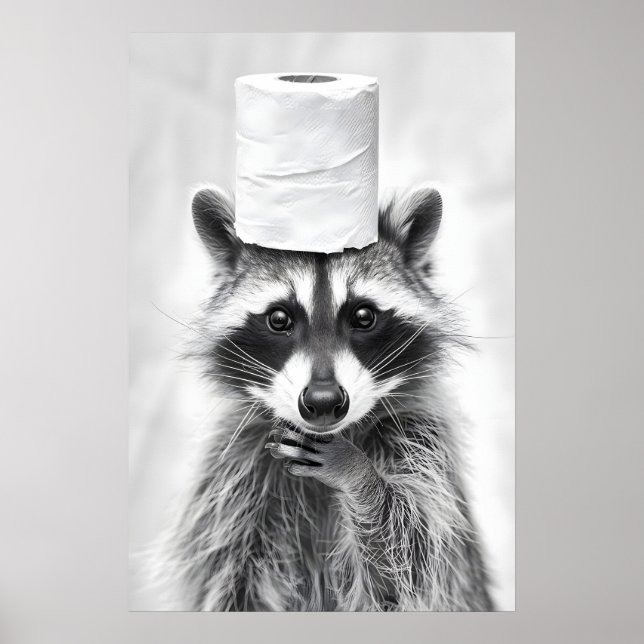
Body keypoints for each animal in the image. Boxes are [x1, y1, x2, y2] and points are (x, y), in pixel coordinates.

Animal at [163, 185, 494, 611]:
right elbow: (229, 582)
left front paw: (358, 476)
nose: (322, 401)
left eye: (364, 316)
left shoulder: (423, 443)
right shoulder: (229, 476)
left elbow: (408, 560)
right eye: (279, 319)